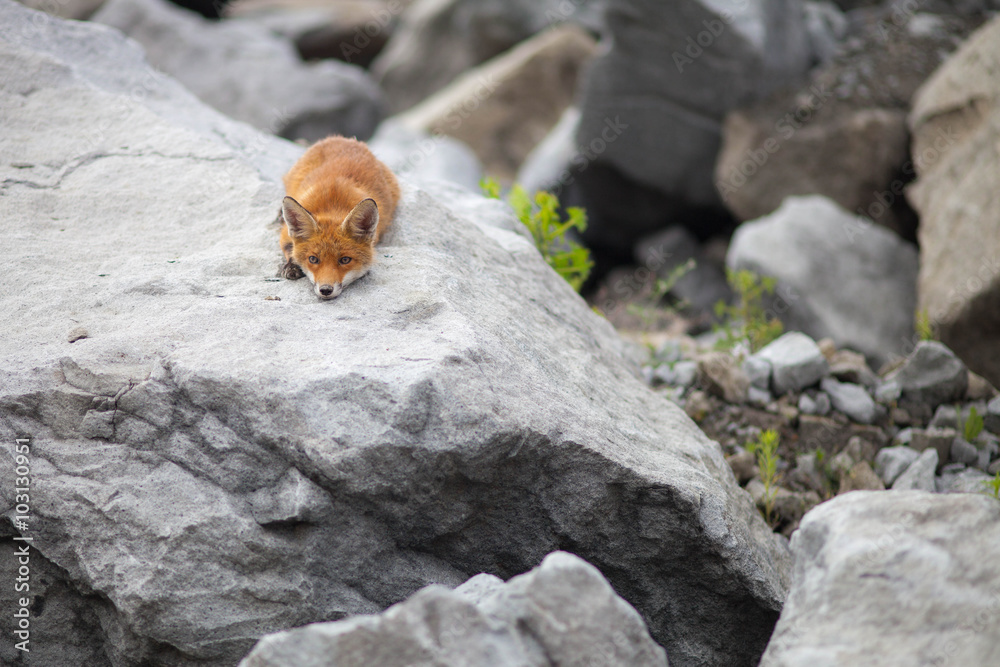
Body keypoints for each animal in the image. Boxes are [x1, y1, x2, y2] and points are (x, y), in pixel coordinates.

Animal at [278, 136, 400, 299]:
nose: (325, 290)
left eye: (345, 260)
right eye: (313, 259)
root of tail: (343, 138)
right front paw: (292, 265)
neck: (333, 205)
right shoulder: (286, 232)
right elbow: (289, 247)